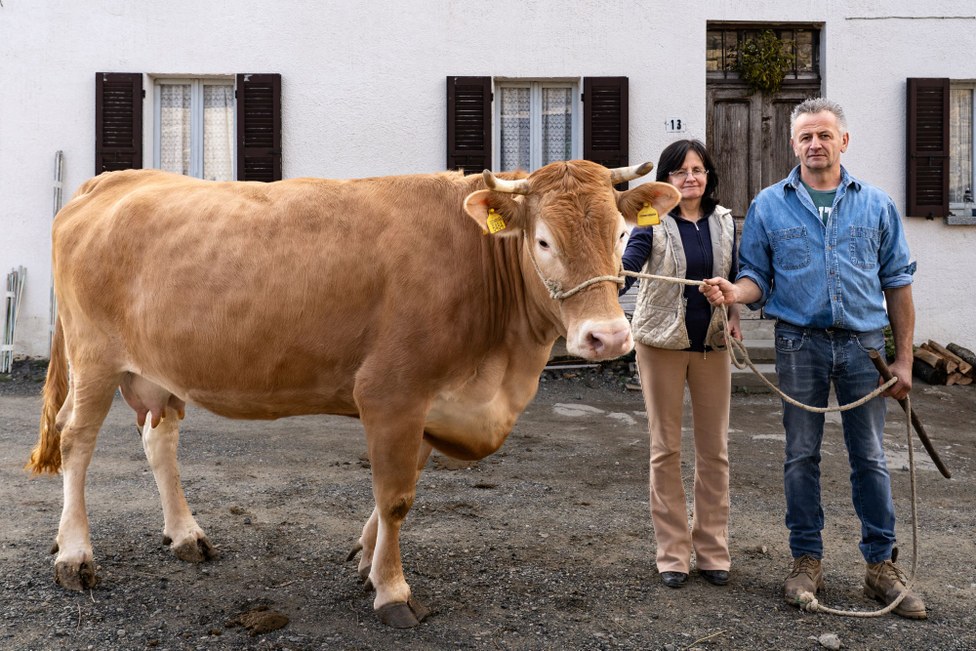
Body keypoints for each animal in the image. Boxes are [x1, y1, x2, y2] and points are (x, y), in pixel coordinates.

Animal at [28, 160, 680, 628]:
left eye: (623, 233)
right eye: (543, 241)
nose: (607, 336)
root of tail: (111, 180)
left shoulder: (431, 402)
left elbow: (399, 488)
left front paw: (367, 561)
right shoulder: (392, 391)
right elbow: (396, 497)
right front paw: (393, 591)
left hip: (160, 371)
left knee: (158, 441)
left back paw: (187, 536)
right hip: (94, 358)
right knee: (77, 442)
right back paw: (74, 557)